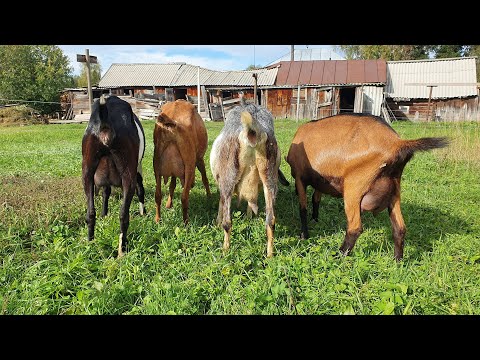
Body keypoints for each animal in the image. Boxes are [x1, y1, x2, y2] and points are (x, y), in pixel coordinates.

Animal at [210, 101, 288, 258]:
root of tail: (252, 131)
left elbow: (221, 203)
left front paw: (217, 222)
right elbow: (250, 203)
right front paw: (248, 217)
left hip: (228, 176)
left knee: (227, 222)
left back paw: (225, 250)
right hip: (269, 176)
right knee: (271, 221)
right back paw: (270, 255)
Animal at [284, 113, 450, 262]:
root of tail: (397, 143)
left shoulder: (299, 177)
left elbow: (303, 207)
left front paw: (304, 235)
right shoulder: (321, 181)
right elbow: (316, 199)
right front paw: (315, 219)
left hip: (354, 188)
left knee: (355, 227)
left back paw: (338, 255)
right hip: (395, 190)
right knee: (400, 228)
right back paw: (397, 261)